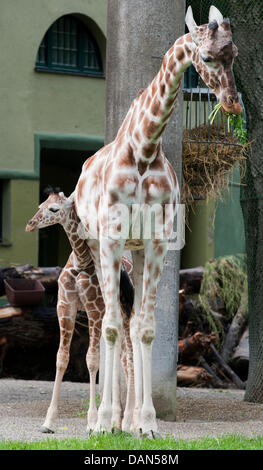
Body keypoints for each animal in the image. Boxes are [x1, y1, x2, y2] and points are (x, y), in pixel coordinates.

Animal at [26, 191, 135, 434]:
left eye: (54, 209)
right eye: (40, 205)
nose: (30, 224)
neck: (81, 261)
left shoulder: (95, 310)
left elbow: (92, 360)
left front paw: (92, 422)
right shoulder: (65, 307)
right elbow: (61, 358)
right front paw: (48, 422)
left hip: (128, 315)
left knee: (129, 358)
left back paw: (130, 423)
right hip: (115, 318)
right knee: (119, 357)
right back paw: (116, 421)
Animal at [73, 4, 241, 436]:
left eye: (235, 55)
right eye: (207, 57)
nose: (233, 104)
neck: (144, 149)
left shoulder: (156, 242)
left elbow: (145, 328)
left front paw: (146, 422)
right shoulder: (112, 238)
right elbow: (112, 326)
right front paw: (106, 423)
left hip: (131, 253)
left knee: (128, 323)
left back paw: (126, 419)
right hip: (97, 249)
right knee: (107, 323)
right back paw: (101, 419)